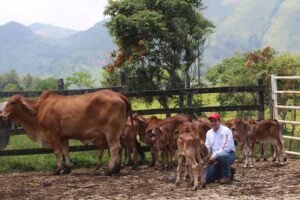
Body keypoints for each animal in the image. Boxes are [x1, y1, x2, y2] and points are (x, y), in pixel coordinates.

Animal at [0, 90, 130, 176]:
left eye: (13, 103)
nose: (2, 115)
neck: (39, 109)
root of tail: (117, 94)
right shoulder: (63, 137)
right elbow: (65, 151)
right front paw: (67, 168)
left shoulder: (52, 134)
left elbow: (57, 152)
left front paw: (57, 169)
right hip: (119, 132)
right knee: (121, 147)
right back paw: (117, 169)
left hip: (111, 132)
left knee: (114, 148)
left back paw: (110, 170)